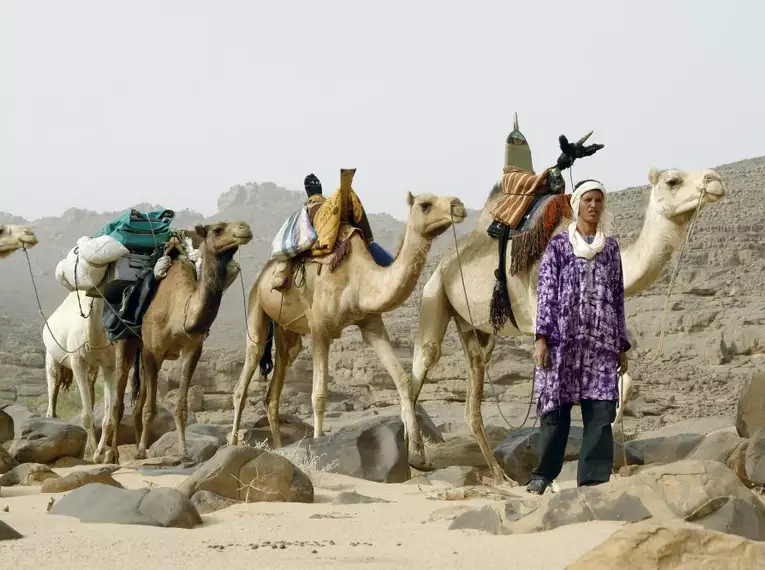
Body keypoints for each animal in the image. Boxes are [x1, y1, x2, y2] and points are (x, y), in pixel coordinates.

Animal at [104, 219, 252, 462]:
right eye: (217, 229)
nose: (244, 228)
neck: (179, 312)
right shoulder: (153, 351)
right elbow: (150, 409)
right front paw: (143, 450)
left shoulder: (192, 350)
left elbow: (181, 406)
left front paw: (183, 451)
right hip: (126, 342)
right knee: (119, 401)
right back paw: (112, 454)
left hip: (143, 353)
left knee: (137, 402)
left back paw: (136, 449)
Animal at [227, 168, 466, 452]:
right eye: (425, 204)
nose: (458, 205)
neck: (358, 279)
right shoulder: (320, 328)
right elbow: (319, 394)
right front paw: (319, 445)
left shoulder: (371, 323)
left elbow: (403, 380)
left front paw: (417, 449)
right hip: (256, 306)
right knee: (245, 375)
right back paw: (233, 443)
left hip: (287, 332)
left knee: (274, 388)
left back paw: (277, 447)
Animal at [408, 164, 724, 480]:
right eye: (673, 181)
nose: (715, 180)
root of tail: (447, 259)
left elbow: (623, 381)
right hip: (435, 292)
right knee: (422, 363)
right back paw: (417, 459)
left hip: (474, 328)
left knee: (473, 392)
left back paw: (499, 475)